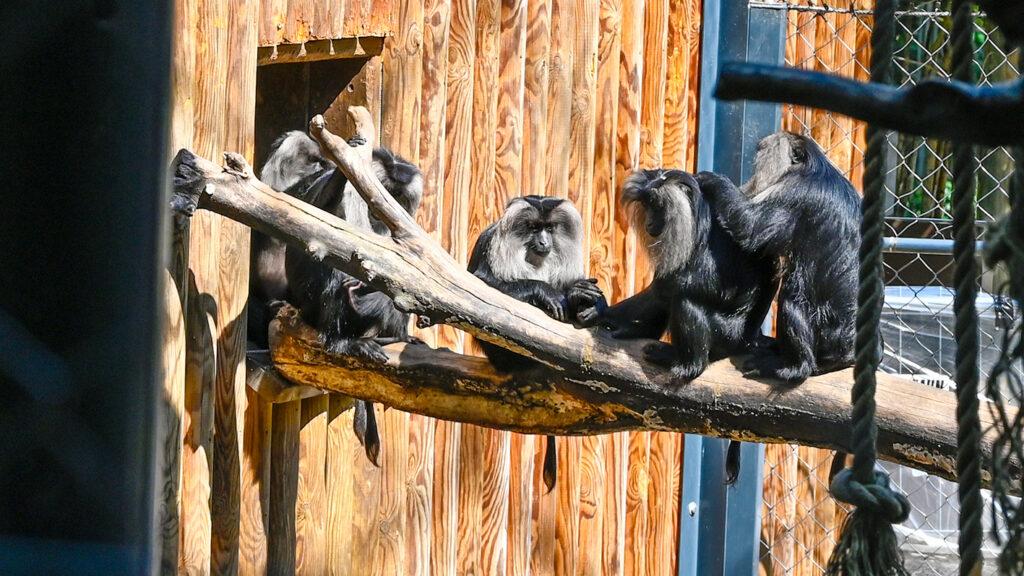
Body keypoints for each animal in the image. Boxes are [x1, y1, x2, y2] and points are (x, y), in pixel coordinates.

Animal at [468, 194, 606, 491]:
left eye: (550, 228)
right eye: (532, 228)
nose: (543, 242)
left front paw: (584, 299)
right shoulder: (489, 243)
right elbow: (482, 285)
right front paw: (546, 292)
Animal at [700, 130, 860, 381]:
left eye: (762, 152)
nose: (756, 160)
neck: (815, 167)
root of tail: (847, 353)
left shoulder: (795, 192)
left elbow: (751, 227)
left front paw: (712, 180)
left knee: (792, 296)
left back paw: (795, 368)